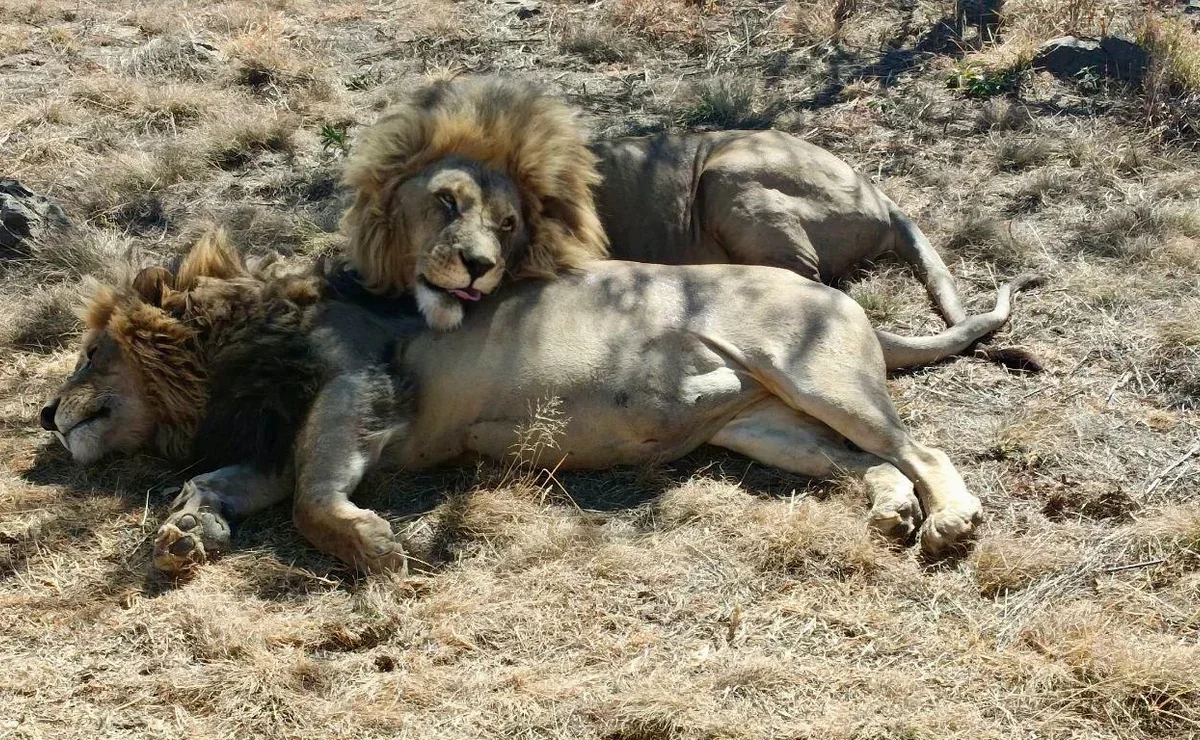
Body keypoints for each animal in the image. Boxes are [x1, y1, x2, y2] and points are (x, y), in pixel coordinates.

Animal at [42, 230, 988, 570]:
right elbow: (209, 483)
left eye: (88, 353)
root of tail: (846, 301)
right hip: (766, 427)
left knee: (924, 448)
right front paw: (184, 534)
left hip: (812, 375)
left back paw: (947, 522)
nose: (45, 416)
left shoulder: (357, 388)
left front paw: (374, 546)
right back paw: (890, 513)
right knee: (865, 463)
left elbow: (314, 503)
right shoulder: (280, 444)